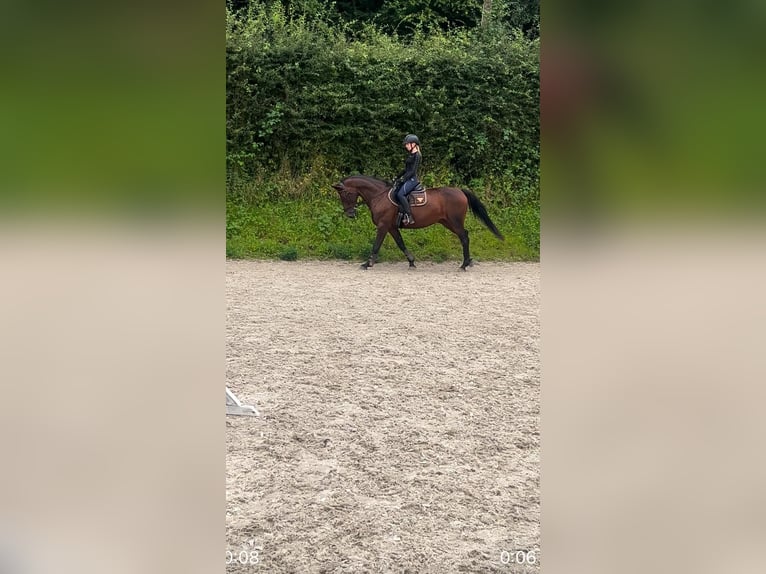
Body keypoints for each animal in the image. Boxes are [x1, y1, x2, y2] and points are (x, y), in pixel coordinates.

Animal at [332, 176, 508, 272]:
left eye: (345, 193)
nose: (350, 214)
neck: (379, 196)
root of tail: (460, 191)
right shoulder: (392, 227)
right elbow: (401, 243)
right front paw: (411, 262)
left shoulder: (383, 225)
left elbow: (376, 245)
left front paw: (367, 263)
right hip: (448, 222)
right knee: (466, 235)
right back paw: (468, 261)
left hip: (454, 222)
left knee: (464, 238)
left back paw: (463, 265)